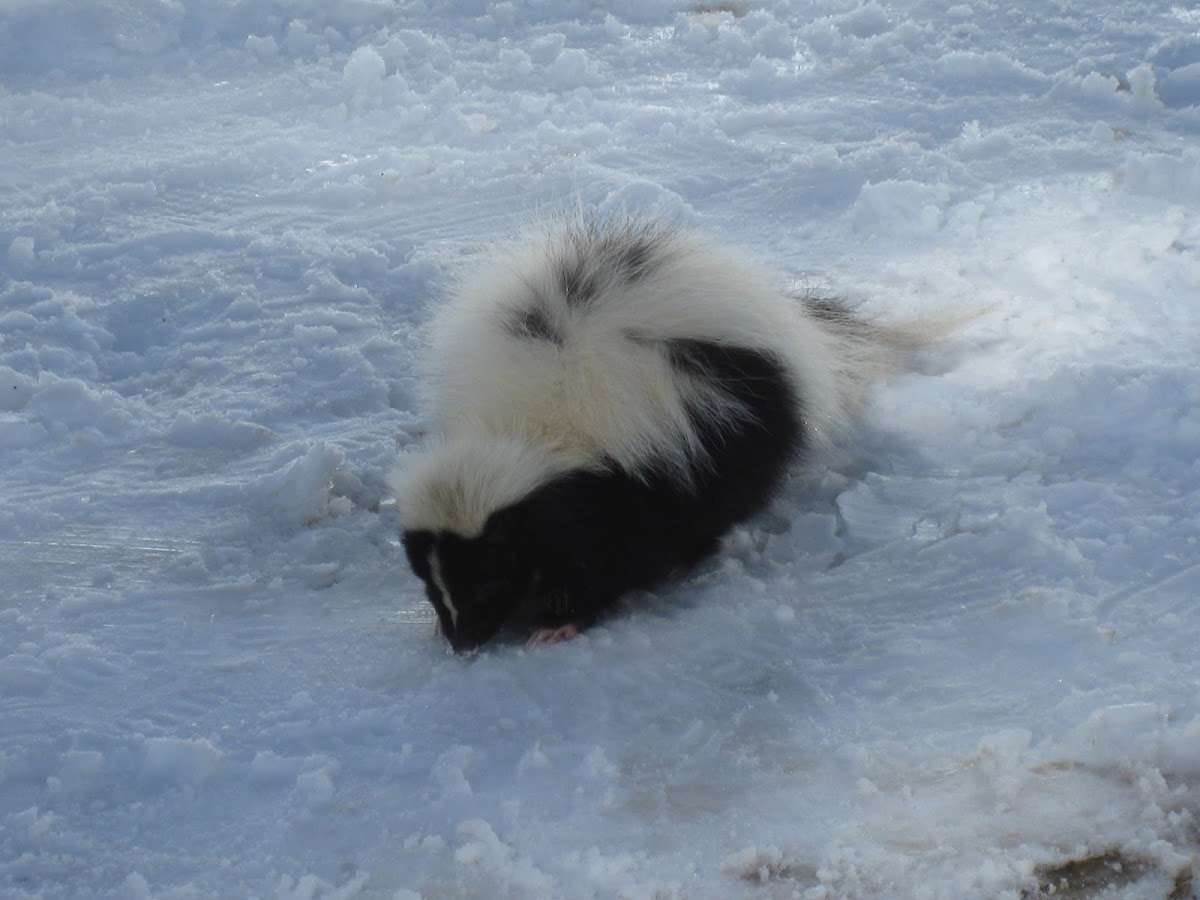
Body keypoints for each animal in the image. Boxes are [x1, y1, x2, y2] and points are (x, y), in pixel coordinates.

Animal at [393, 218, 936, 657]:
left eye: (486, 579)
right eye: (430, 586)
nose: (462, 641)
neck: (515, 432)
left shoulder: (605, 491)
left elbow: (594, 562)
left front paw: (558, 623)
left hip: (726, 424)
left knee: (722, 498)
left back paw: (687, 560)